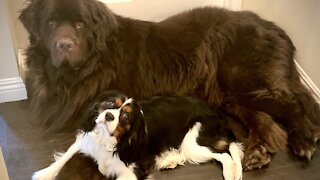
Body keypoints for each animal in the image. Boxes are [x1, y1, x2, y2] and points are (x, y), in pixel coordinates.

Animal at [20, 0, 320, 170]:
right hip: (227, 94)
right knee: (264, 119)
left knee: (292, 103)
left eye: (80, 25)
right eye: (50, 23)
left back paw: (304, 140)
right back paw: (257, 151)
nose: (64, 45)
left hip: (242, 78)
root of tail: (273, 27)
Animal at [32, 90, 242, 179]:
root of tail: (217, 113)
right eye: (110, 103)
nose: (109, 116)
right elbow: (64, 157)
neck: (107, 139)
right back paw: (169, 161)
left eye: (125, 116)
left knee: (224, 153)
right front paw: (43, 174)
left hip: (194, 142)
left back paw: (230, 173)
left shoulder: (130, 171)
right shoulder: (86, 140)